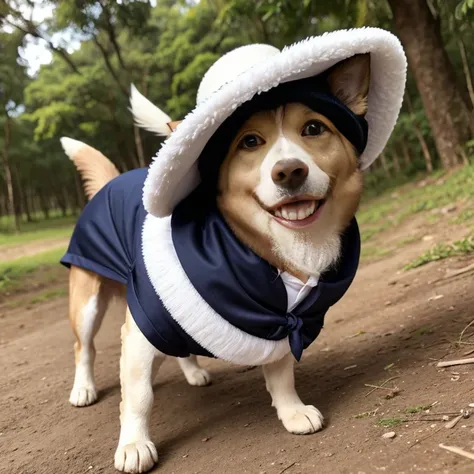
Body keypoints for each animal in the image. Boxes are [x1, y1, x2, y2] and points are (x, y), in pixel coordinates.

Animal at [60, 30, 408, 474]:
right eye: (250, 142)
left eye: (314, 128)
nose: (289, 171)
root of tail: (113, 179)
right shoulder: (140, 329)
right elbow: (138, 396)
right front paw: (134, 444)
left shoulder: (277, 322)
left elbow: (281, 374)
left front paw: (292, 411)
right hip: (89, 302)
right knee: (83, 348)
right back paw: (84, 388)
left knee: (176, 348)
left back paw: (193, 373)